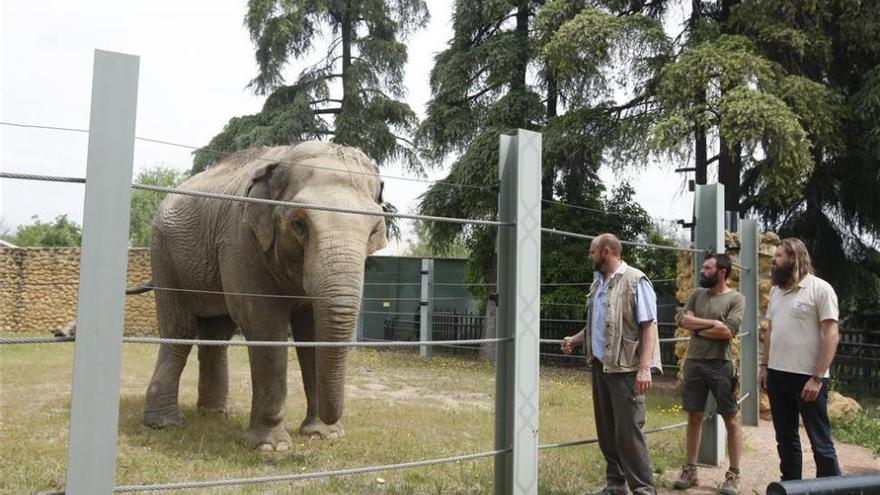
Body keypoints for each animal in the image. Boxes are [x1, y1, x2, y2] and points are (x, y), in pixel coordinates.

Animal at [143, 141, 386, 452]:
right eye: (299, 223)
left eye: (374, 229)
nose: (332, 421)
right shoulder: (240, 239)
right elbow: (263, 322)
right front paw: (271, 447)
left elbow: (312, 330)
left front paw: (324, 435)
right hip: (164, 254)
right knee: (180, 330)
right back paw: (164, 423)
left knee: (217, 332)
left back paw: (217, 413)